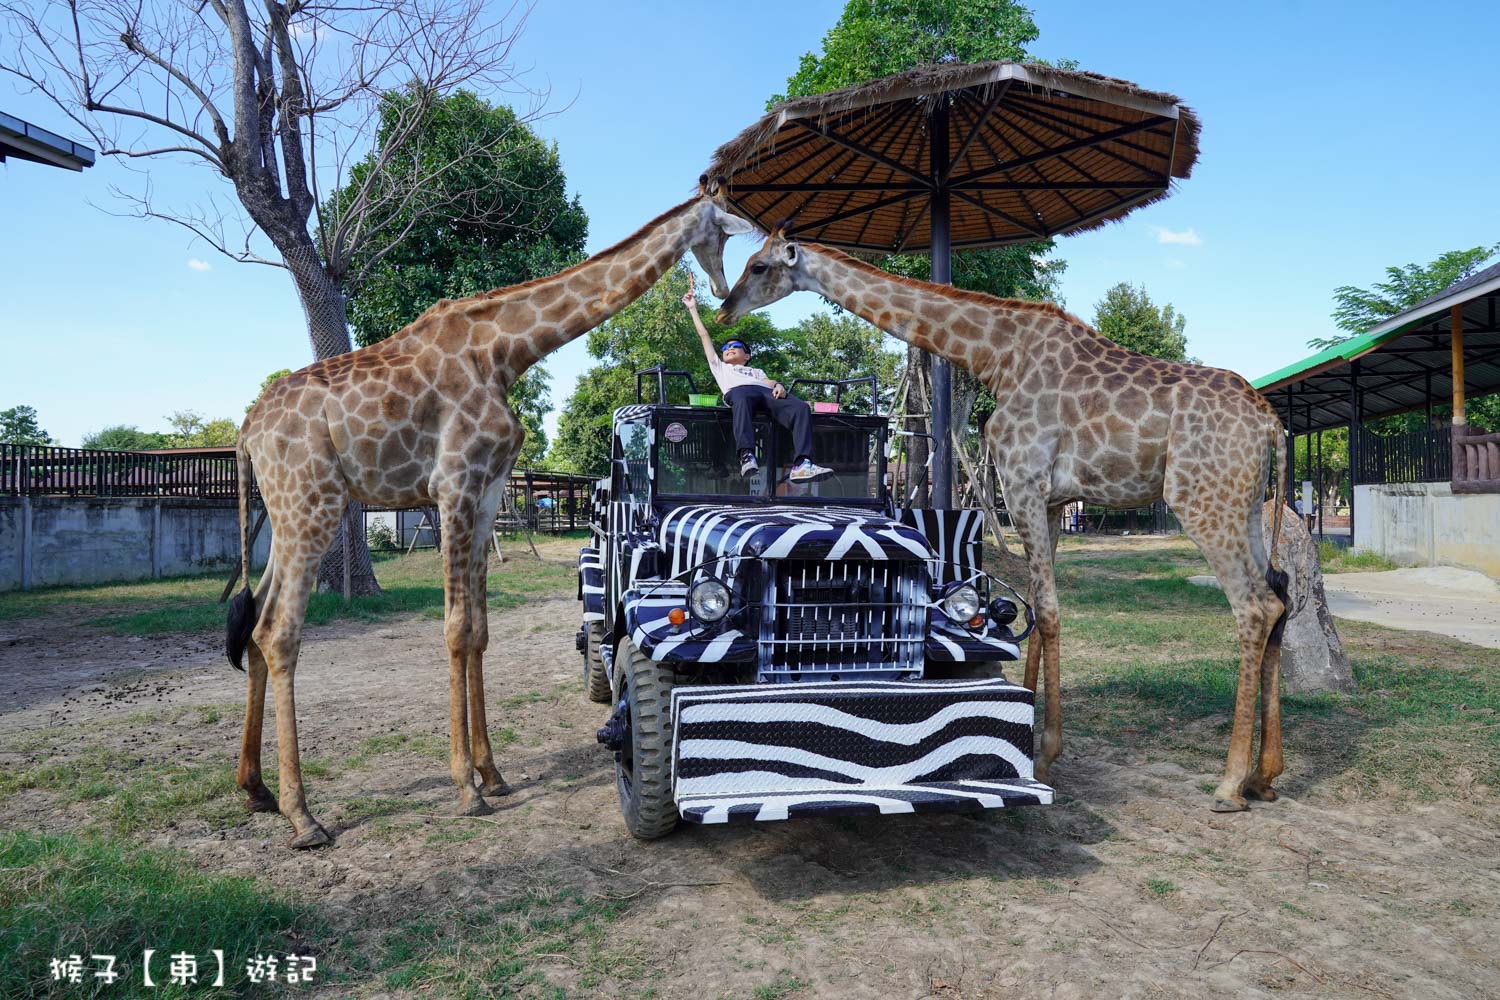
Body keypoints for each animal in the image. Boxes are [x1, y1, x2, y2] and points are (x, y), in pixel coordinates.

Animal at [226, 177, 756, 845]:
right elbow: (455, 629)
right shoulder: (453, 483)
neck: (504, 349)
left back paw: (256, 790)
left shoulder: (485, 494)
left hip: (285, 513)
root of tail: (246, 432)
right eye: (729, 217)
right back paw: (303, 814)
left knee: (254, 621)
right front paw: (465, 789)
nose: (721, 294)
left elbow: (478, 630)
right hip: (312, 502)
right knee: (279, 630)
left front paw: (493, 774)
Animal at [714, 235, 1290, 815]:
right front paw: (1034, 741)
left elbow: (1050, 611)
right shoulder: (1052, 499)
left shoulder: (1021, 484)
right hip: (1246, 505)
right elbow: (1036, 605)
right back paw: (1264, 776)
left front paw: (1044, 752)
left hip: (1200, 497)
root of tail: (1271, 423)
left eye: (757, 265)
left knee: (1253, 605)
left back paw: (1229, 784)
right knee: (1280, 595)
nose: (724, 312)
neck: (995, 356)